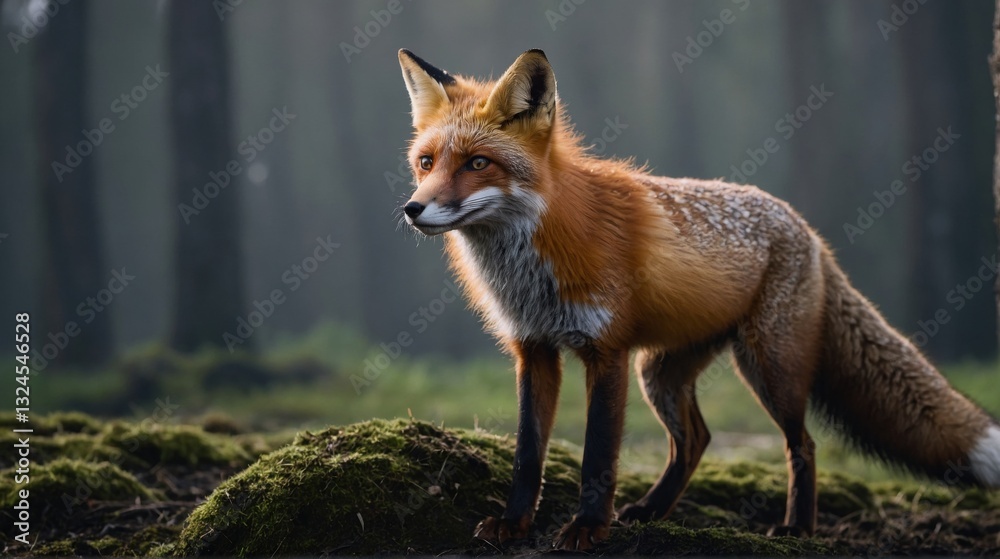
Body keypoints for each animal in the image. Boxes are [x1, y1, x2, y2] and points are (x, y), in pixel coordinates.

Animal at [396, 48, 1000, 550]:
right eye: (426, 163)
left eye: (478, 163)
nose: (413, 209)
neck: (533, 264)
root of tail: (807, 230)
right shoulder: (534, 349)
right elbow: (527, 452)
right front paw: (515, 522)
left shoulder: (606, 351)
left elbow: (597, 456)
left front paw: (588, 528)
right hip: (661, 372)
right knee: (696, 440)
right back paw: (652, 511)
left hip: (768, 368)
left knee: (802, 444)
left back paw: (797, 528)